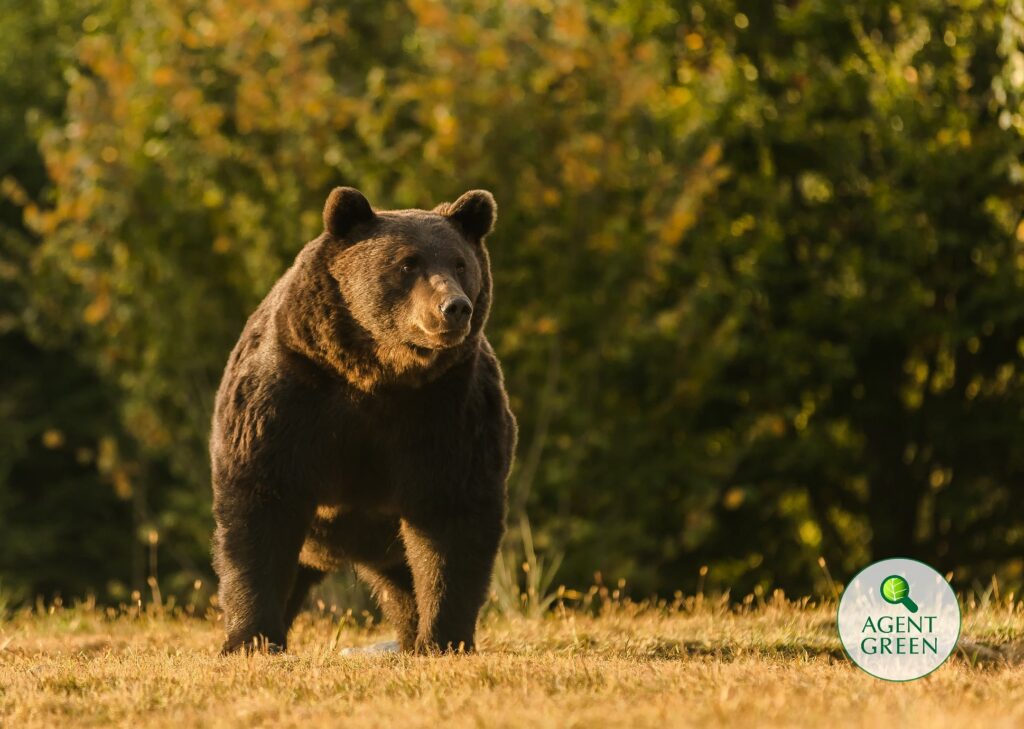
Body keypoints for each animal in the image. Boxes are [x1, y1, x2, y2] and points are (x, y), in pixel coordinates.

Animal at [209, 187, 516, 654]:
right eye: (408, 262)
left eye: (461, 263)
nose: (454, 307)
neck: (378, 374)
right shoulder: (289, 395)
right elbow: (260, 505)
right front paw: (251, 638)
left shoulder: (449, 409)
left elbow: (452, 516)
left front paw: (443, 638)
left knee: (404, 583)